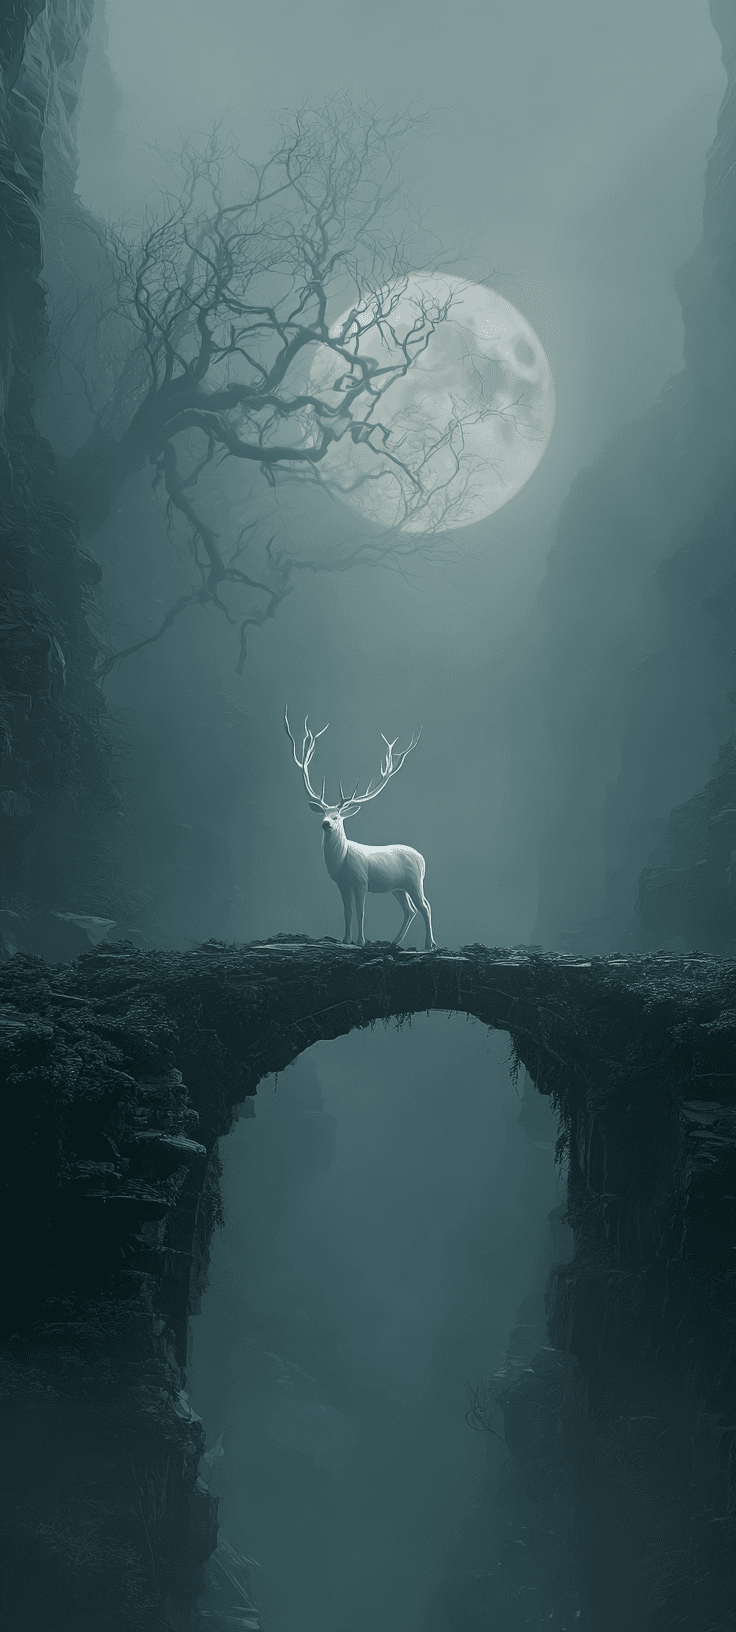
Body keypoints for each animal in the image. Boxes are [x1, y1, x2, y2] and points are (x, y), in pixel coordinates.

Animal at [285, 708, 437, 950]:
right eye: (324, 814)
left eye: (337, 817)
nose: (325, 823)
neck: (341, 860)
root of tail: (422, 859)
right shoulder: (342, 884)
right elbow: (347, 912)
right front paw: (345, 939)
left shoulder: (361, 881)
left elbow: (361, 912)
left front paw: (361, 940)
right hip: (398, 888)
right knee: (410, 910)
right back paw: (394, 942)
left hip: (414, 881)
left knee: (425, 906)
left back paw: (429, 943)